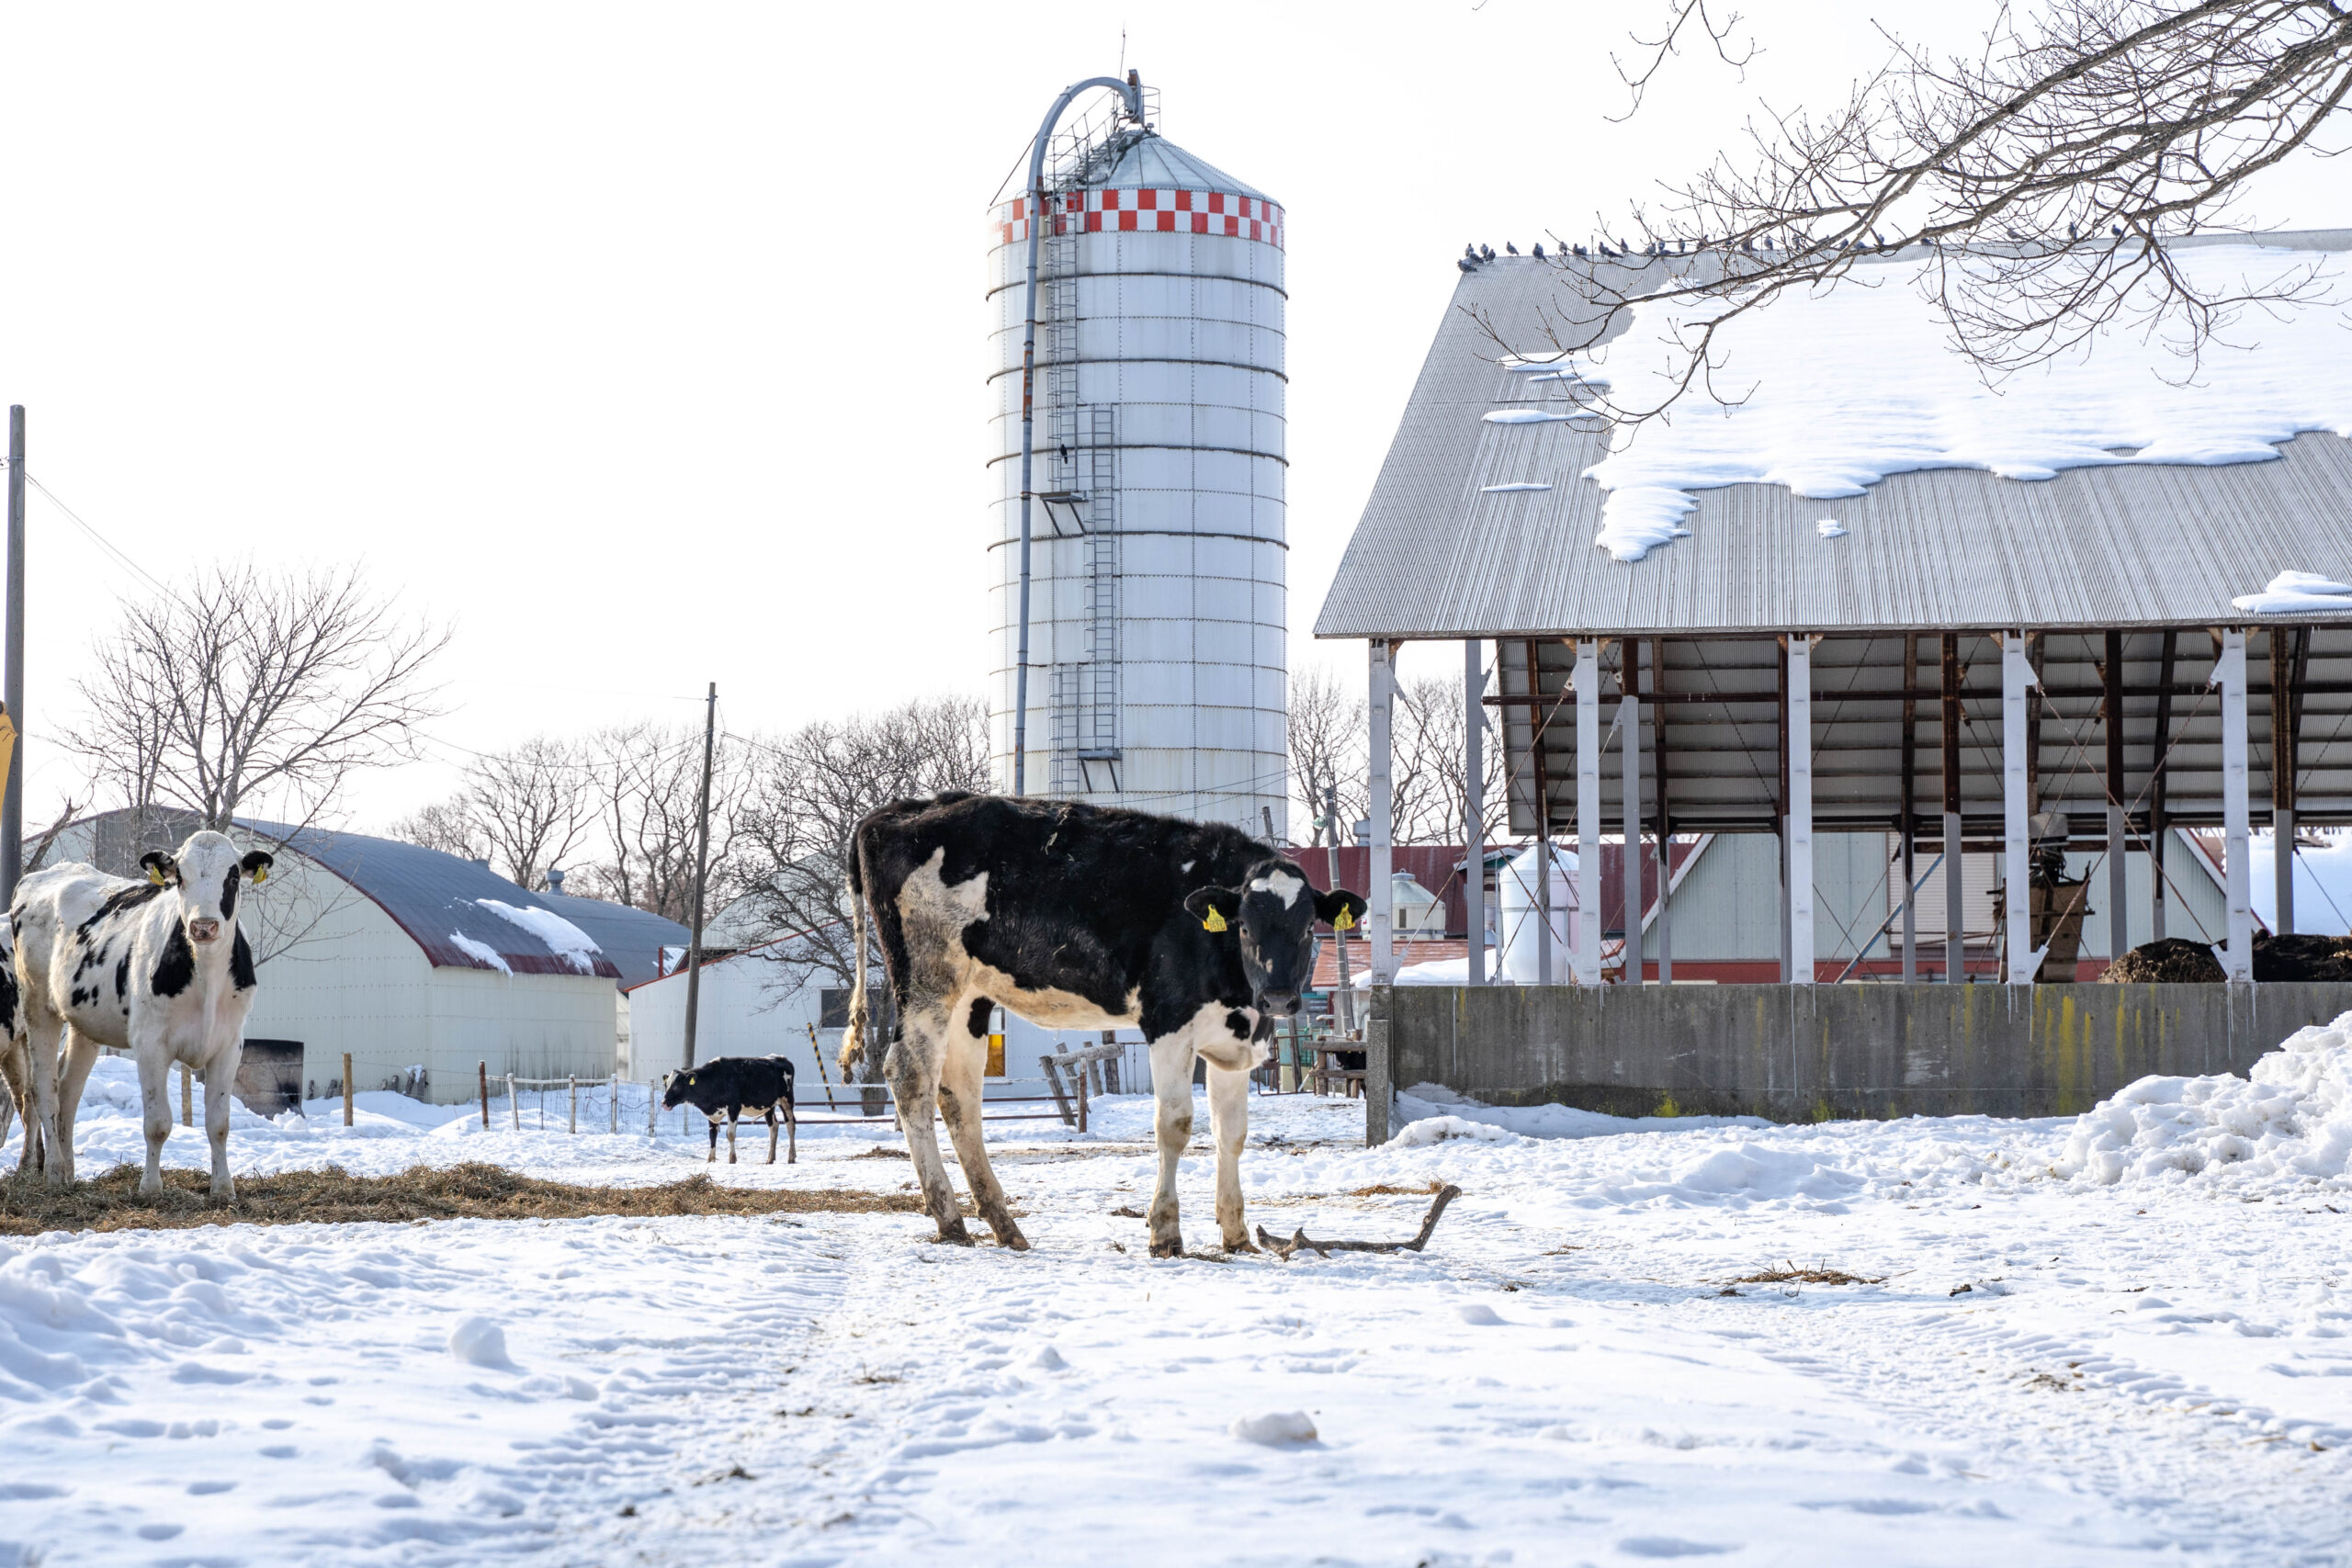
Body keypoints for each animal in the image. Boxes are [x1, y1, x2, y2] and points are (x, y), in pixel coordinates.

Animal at [12, 831, 274, 1189]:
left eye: (233, 877)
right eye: (181, 878)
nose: (203, 926)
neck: (206, 977)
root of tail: (40, 876)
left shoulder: (230, 1044)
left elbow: (219, 1123)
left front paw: (223, 1188)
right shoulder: (149, 1043)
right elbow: (157, 1123)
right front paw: (150, 1187)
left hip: (85, 1024)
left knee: (68, 1090)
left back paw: (69, 1175)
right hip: (37, 1006)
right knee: (43, 1090)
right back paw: (52, 1172)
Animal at [662, 1053, 799, 1166]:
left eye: (676, 1086)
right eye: (666, 1085)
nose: (664, 1103)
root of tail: (780, 1058)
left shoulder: (734, 1109)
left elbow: (731, 1135)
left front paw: (732, 1159)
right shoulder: (712, 1113)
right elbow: (712, 1136)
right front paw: (711, 1159)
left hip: (786, 1099)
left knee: (790, 1125)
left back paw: (791, 1157)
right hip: (769, 1105)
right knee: (774, 1127)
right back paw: (770, 1159)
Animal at [846, 789, 1374, 1259]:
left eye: (1307, 929)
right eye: (1244, 926)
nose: (1279, 996)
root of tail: (899, 811)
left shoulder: (1235, 1042)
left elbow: (1233, 1134)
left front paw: (1236, 1234)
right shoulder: (1168, 1021)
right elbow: (1175, 1125)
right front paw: (1165, 1233)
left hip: (971, 994)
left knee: (959, 1092)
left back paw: (1004, 1225)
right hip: (927, 975)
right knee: (910, 1073)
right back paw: (951, 1221)